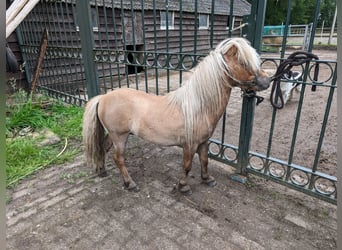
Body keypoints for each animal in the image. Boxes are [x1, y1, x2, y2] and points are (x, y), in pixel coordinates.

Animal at [82, 37, 270, 194]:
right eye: (244, 62)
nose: (267, 81)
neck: (199, 106)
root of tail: (103, 97)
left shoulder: (203, 142)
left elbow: (204, 160)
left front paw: (207, 179)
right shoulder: (190, 144)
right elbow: (187, 166)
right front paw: (183, 186)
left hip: (114, 135)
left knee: (103, 147)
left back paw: (102, 171)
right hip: (120, 136)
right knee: (118, 158)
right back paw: (130, 183)